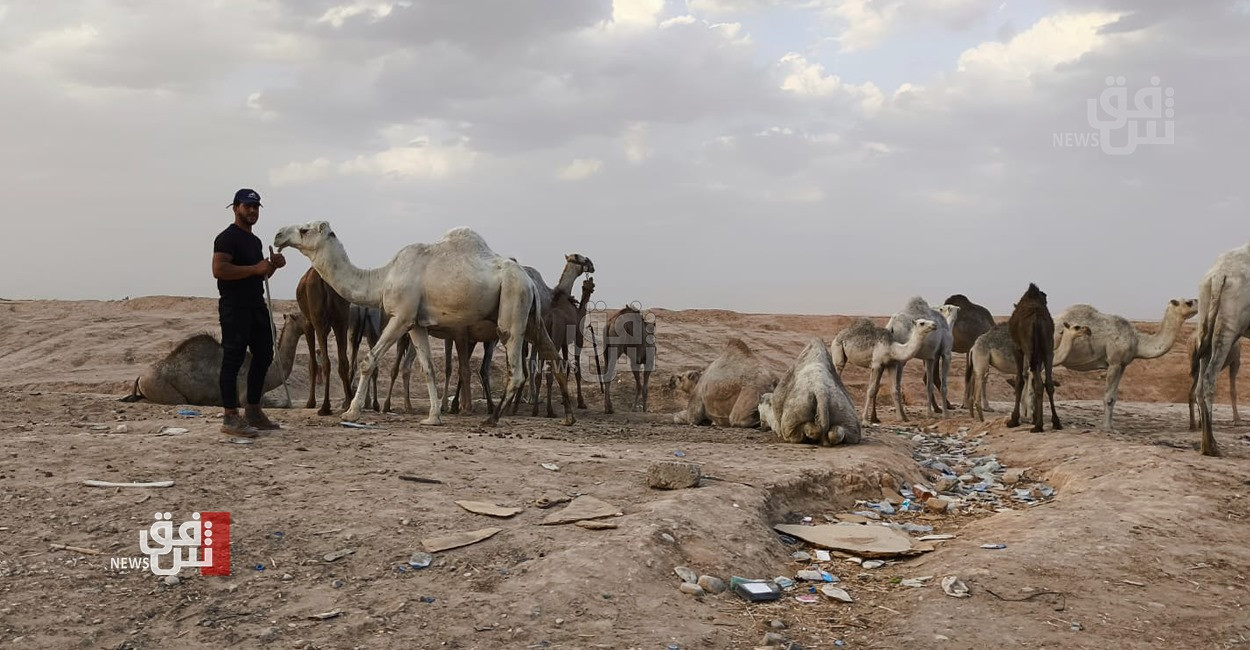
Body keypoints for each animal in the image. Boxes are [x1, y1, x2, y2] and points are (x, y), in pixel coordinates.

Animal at [293, 266, 352, 415]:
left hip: (318, 318)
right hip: (342, 318)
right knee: (343, 361)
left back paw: (325, 407)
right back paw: (349, 402)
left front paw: (310, 403)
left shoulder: (308, 323)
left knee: (326, 362)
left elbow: (312, 364)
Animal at [1000, 282, 1060, 432]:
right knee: (1048, 383)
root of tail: (1036, 318)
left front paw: (1014, 420)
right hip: (1047, 347)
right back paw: (1056, 422)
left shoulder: (1017, 348)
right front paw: (1034, 417)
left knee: (1038, 384)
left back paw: (1038, 426)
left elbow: (1019, 381)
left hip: (1028, 347)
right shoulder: (1040, 352)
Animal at [1055, 298, 1200, 432]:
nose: (1198, 301)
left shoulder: (1123, 364)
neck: (1137, 341)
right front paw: (1107, 428)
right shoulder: (1114, 362)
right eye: (1188, 302)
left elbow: (1114, 397)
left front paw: (1112, 426)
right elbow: (1108, 397)